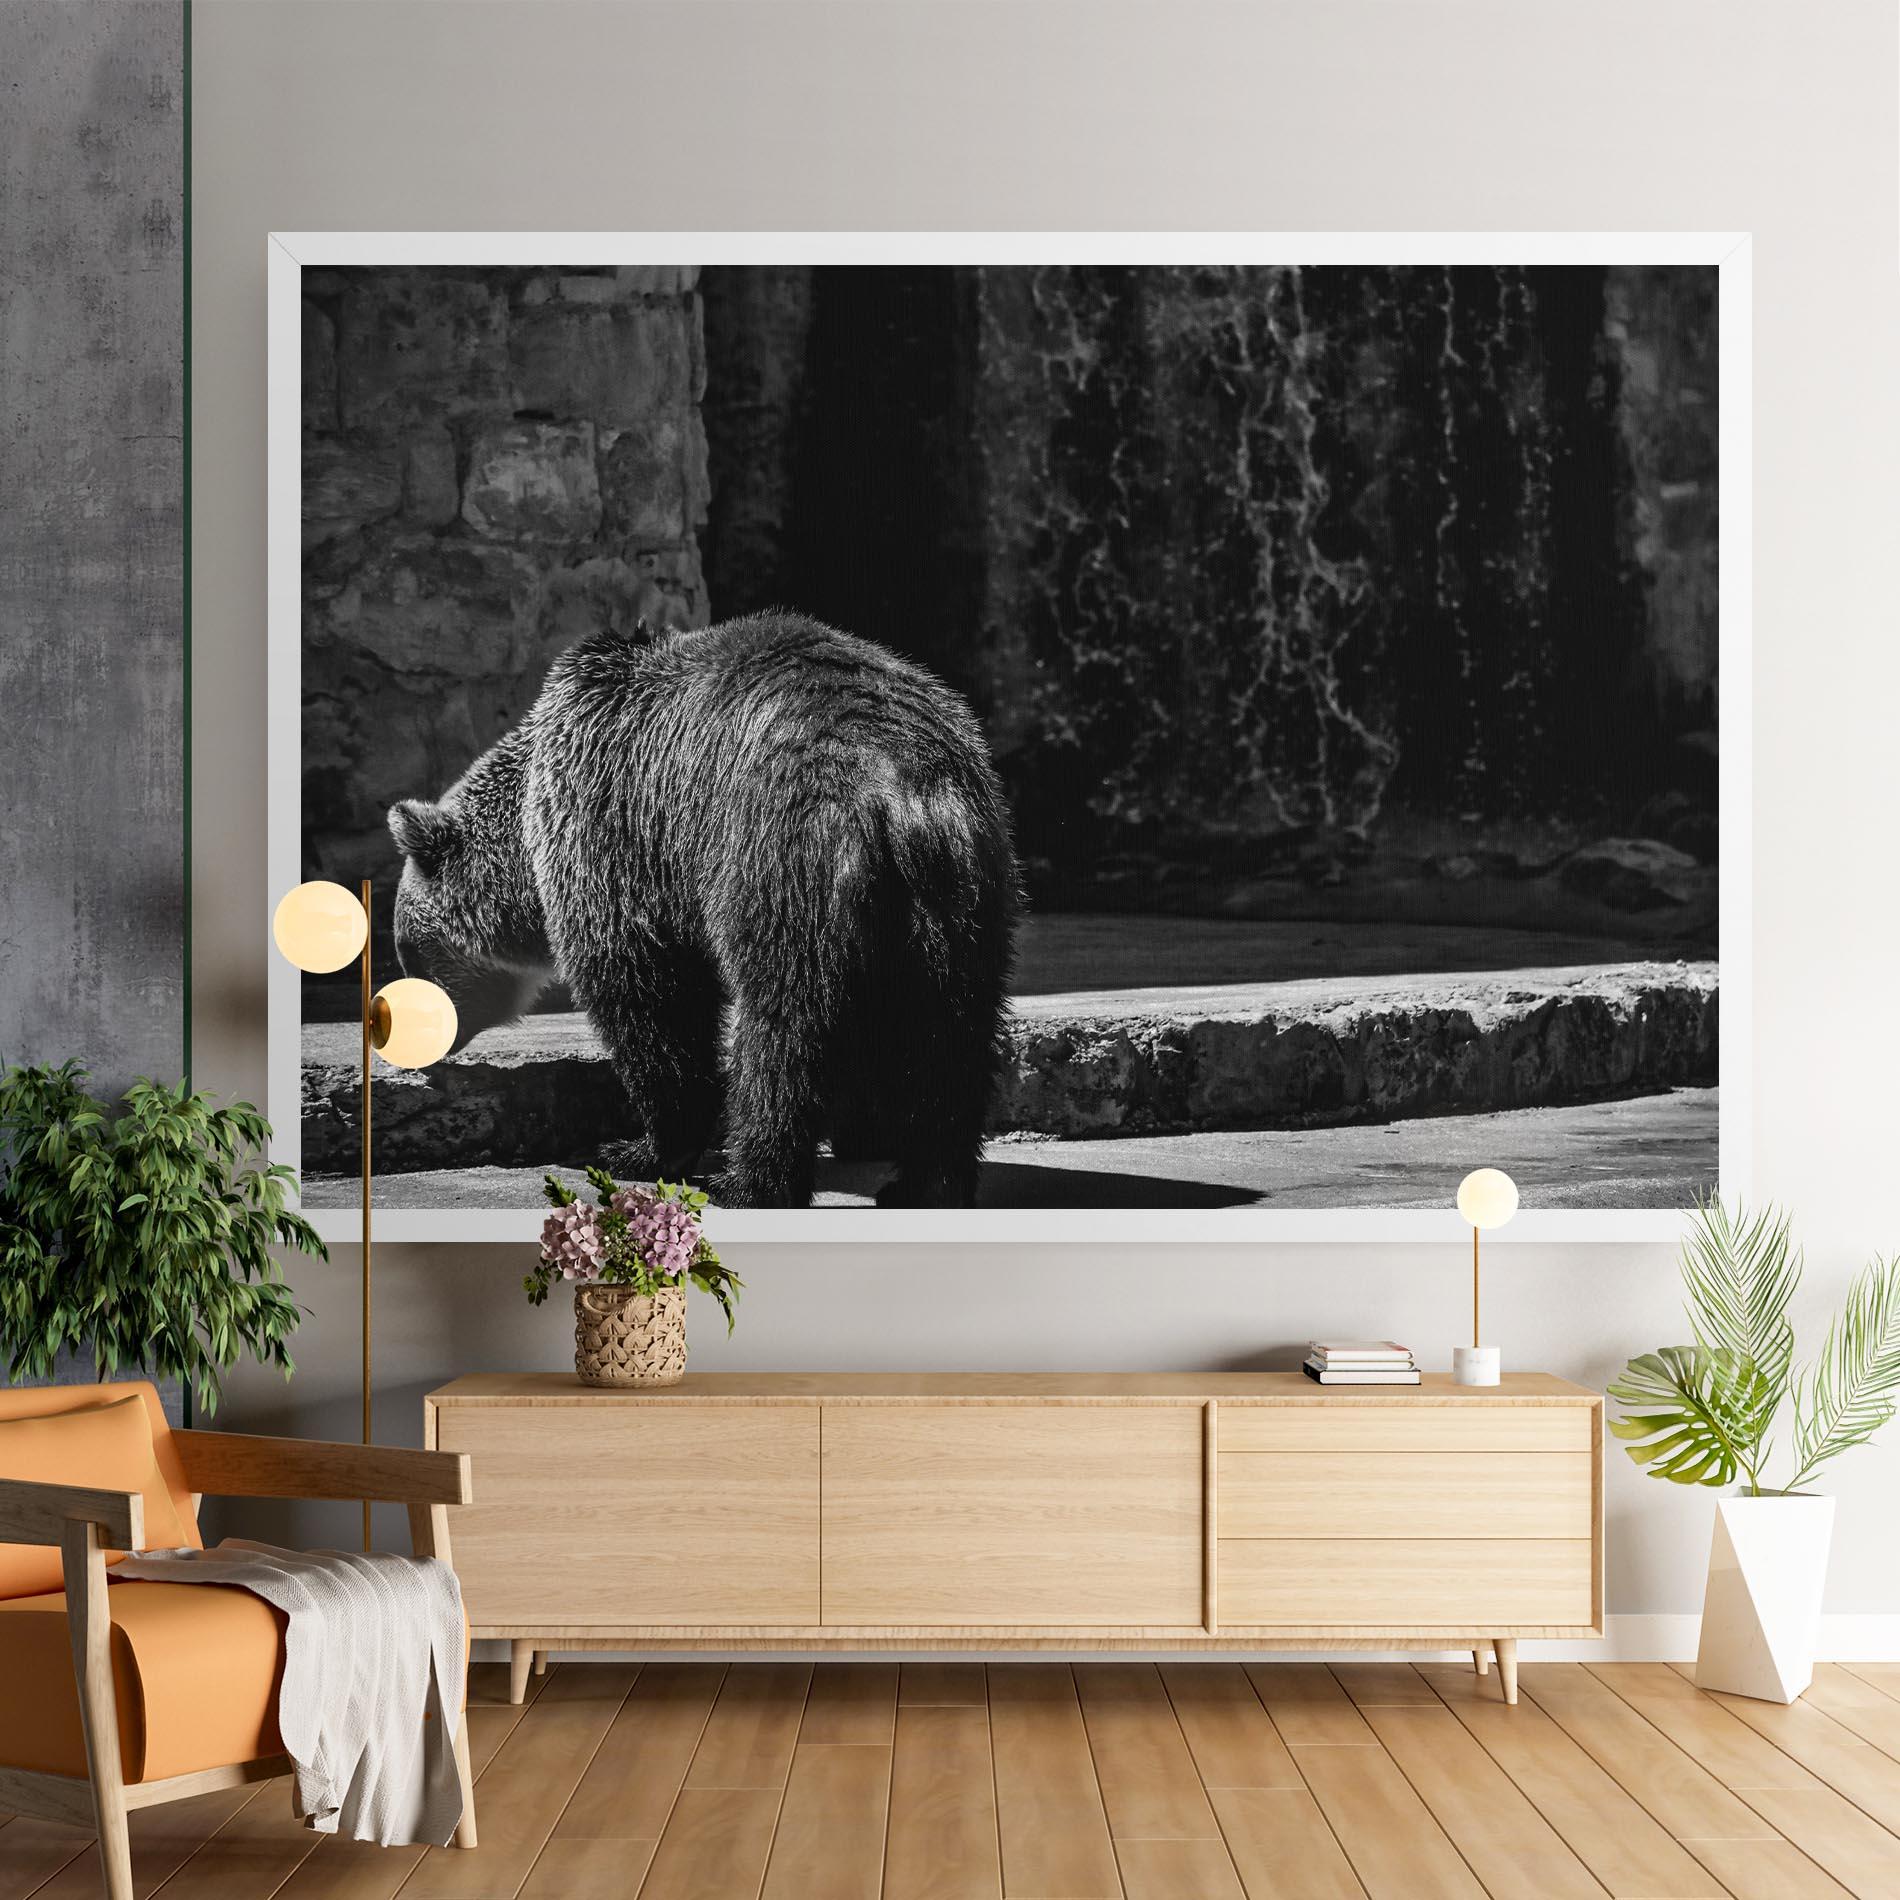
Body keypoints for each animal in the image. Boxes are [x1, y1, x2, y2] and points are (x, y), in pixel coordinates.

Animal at [386, 610, 1019, 1208]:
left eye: (408, 951)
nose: (410, 1041)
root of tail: (904, 793)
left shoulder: (619, 829)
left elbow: (649, 997)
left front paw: (634, 1149)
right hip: (964, 898)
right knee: (952, 1038)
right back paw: (925, 1184)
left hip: (783, 862)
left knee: (784, 1035)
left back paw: (749, 1184)